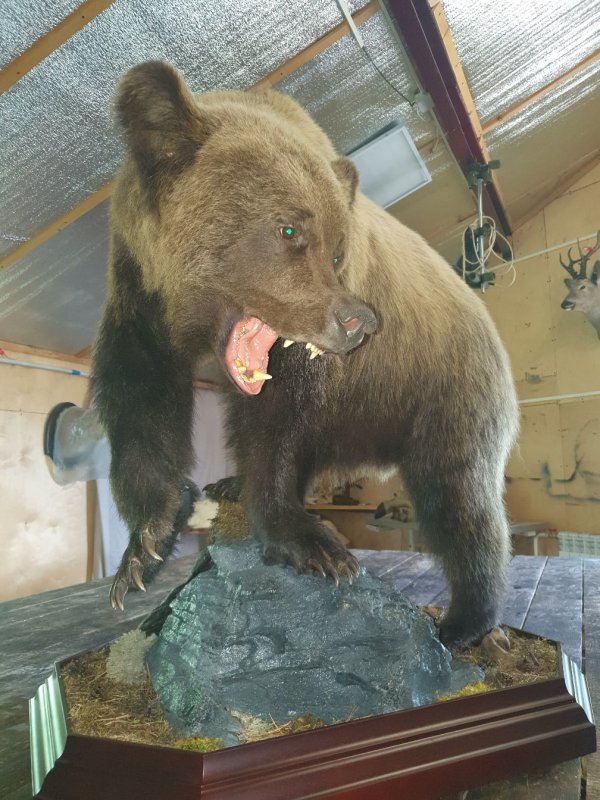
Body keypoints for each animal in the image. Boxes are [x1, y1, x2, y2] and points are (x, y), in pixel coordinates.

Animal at [91, 60, 519, 645]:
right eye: (289, 228)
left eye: (338, 250)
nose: (356, 322)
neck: (193, 319)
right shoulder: (138, 301)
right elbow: (141, 406)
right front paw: (145, 547)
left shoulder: (304, 365)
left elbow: (279, 424)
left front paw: (312, 545)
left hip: (446, 387)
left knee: (459, 497)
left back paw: (463, 622)